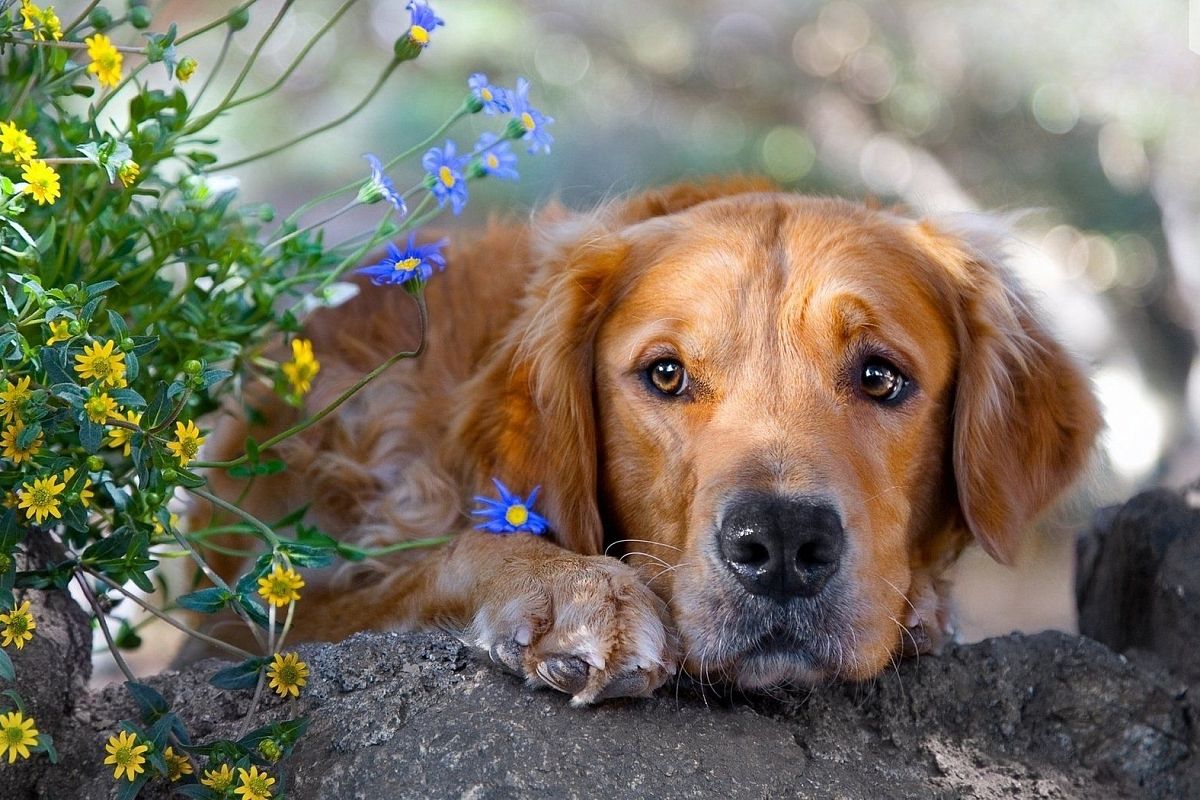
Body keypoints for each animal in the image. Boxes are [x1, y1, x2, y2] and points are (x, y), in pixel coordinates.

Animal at [192, 176, 1099, 705]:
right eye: (666, 374)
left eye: (880, 377)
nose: (780, 543)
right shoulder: (258, 620)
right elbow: (443, 557)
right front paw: (569, 590)